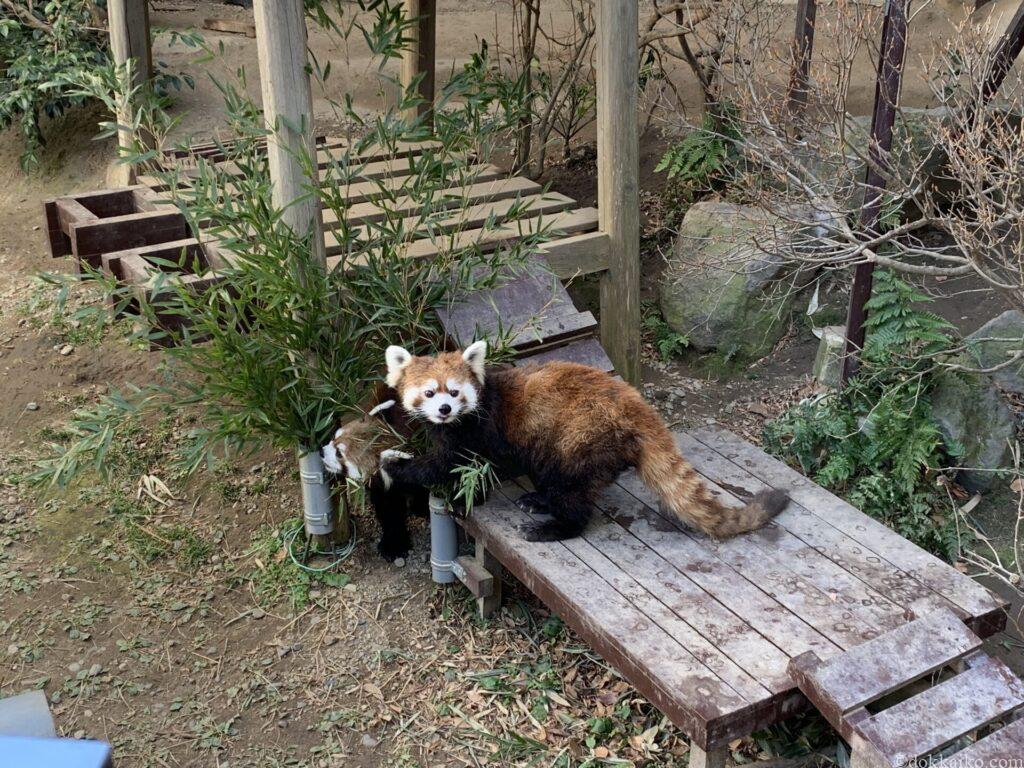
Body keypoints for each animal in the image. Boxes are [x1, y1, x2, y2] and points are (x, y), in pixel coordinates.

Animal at [380, 339, 786, 544]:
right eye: (429, 393)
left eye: (454, 391)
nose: (445, 409)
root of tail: (637, 406)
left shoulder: (475, 429)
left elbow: (448, 465)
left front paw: (397, 467)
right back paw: (538, 500)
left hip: (582, 439)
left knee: (572, 494)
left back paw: (554, 528)